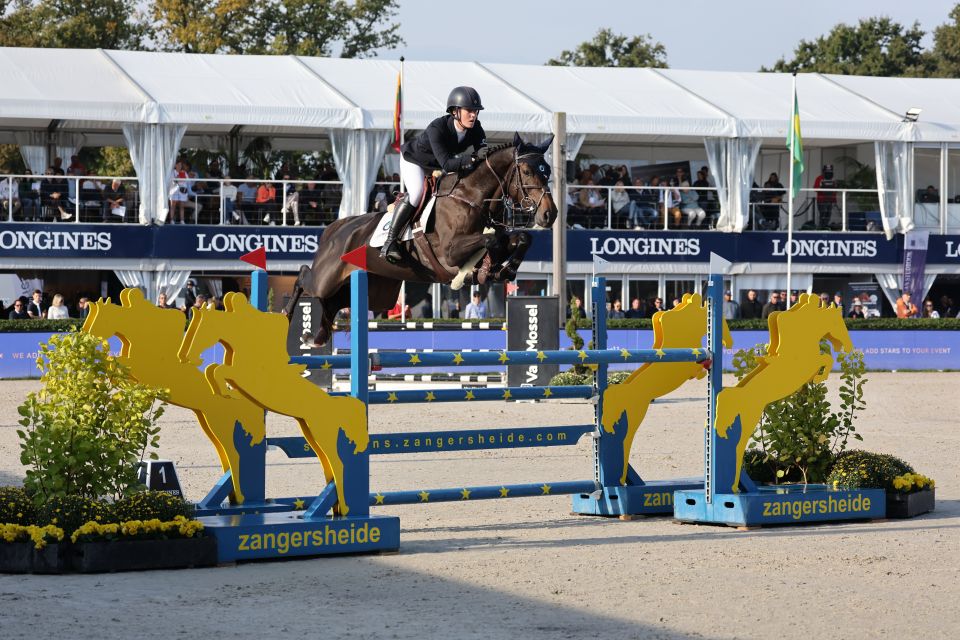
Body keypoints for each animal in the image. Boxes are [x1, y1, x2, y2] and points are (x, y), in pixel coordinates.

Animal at [79, 288, 264, 504]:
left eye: (100, 320)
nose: (84, 342)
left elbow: (118, 361)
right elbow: (116, 364)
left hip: (219, 423)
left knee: (234, 455)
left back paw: (240, 497)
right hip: (207, 420)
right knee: (226, 454)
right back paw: (234, 495)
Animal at [180, 292, 372, 516]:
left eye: (200, 330)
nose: (188, 357)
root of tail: (332, 406)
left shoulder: (243, 376)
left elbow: (218, 369)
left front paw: (224, 392)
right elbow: (214, 369)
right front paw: (222, 392)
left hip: (322, 432)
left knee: (338, 464)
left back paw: (345, 508)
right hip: (310, 430)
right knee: (329, 465)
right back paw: (337, 508)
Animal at [282, 132, 560, 348]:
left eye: (547, 172)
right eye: (526, 171)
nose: (550, 214)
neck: (471, 196)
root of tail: (335, 229)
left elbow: (519, 238)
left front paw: (501, 271)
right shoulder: (449, 253)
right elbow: (490, 243)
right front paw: (480, 273)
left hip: (370, 290)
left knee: (332, 303)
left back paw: (314, 338)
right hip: (326, 279)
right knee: (304, 275)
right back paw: (285, 315)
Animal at [604, 294, 732, 484]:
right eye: (723, 323)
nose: (729, 343)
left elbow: (701, 366)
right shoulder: (687, 365)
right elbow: (698, 369)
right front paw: (703, 370)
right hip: (638, 412)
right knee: (627, 440)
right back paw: (621, 476)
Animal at [712, 296, 856, 496]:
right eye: (838, 322)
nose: (849, 346)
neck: (803, 337)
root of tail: (740, 395)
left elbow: (826, 359)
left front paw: (813, 382)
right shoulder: (810, 363)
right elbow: (826, 359)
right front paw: (819, 377)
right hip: (751, 417)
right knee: (739, 446)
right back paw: (734, 487)